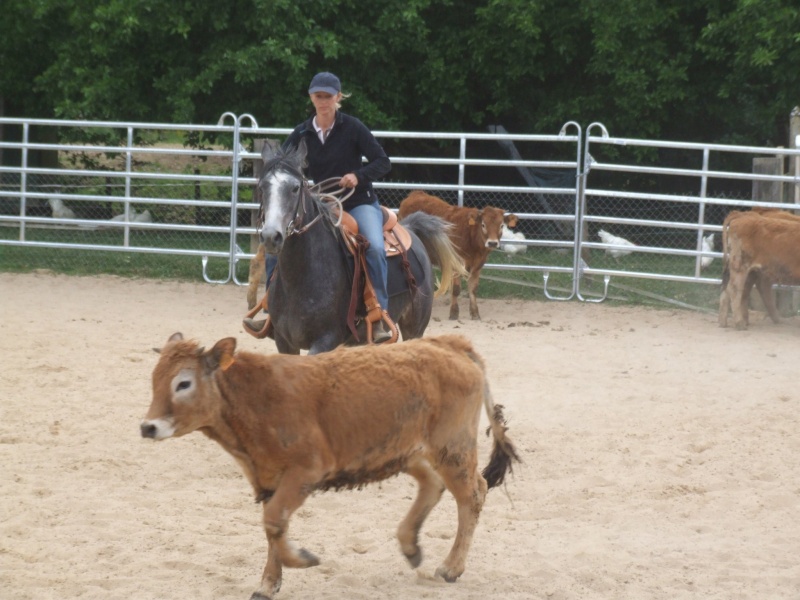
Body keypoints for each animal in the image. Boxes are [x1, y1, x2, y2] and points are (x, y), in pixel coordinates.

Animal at [141, 332, 520, 600]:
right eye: (155, 380)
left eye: (184, 383)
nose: (148, 427)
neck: (253, 397)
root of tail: (450, 344)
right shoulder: (267, 479)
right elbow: (272, 527)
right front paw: (268, 583)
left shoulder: (306, 471)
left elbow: (274, 522)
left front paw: (301, 559)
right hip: (406, 451)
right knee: (432, 484)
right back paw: (410, 545)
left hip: (452, 449)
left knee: (472, 495)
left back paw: (451, 567)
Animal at [396, 193, 520, 324]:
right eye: (483, 224)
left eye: (501, 226)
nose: (492, 243)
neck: (472, 238)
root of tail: (415, 194)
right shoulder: (456, 264)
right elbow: (456, 289)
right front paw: (454, 313)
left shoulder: (478, 265)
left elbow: (473, 288)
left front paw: (475, 313)